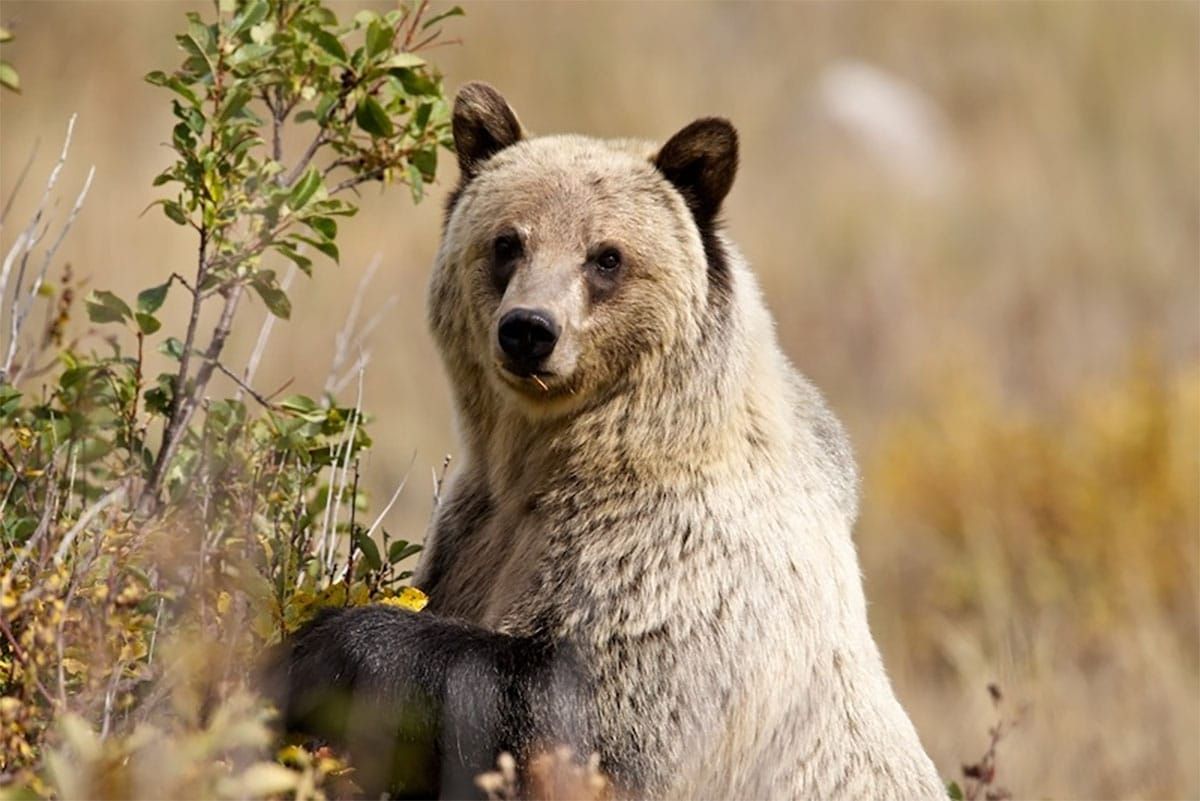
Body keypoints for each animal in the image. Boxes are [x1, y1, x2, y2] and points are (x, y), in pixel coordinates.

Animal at [276, 81, 944, 801]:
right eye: (508, 241)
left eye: (606, 256)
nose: (529, 329)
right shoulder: (473, 529)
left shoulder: (677, 567)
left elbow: (591, 703)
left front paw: (312, 651)